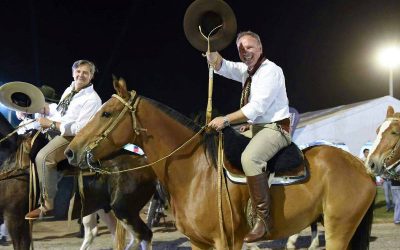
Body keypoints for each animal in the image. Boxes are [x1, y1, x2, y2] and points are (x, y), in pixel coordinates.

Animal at [66, 78, 378, 250]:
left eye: (105, 113)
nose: (70, 152)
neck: (195, 173)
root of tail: (361, 167)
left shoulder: (225, 242)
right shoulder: (198, 243)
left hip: (339, 230)